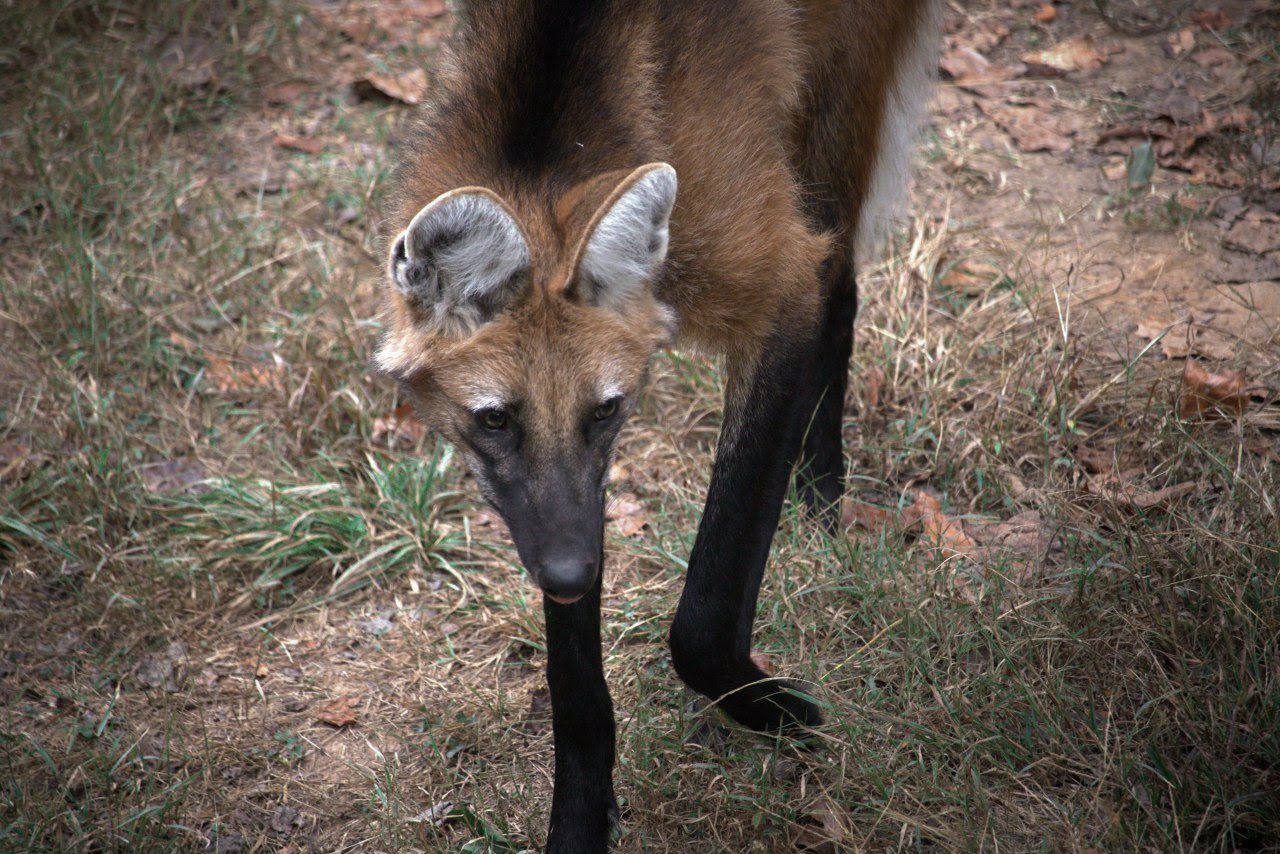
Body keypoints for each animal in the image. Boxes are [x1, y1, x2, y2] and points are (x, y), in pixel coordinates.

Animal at [373, 0, 936, 850]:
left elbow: (706, 606)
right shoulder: (563, 505)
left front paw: (774, 708)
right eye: (494, 420)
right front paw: (581, 817)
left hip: (836, 94)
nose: (569, 574)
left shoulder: (777, 279)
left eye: (604, 409)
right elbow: (573, 670)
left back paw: (820, 492)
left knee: (841, 279)